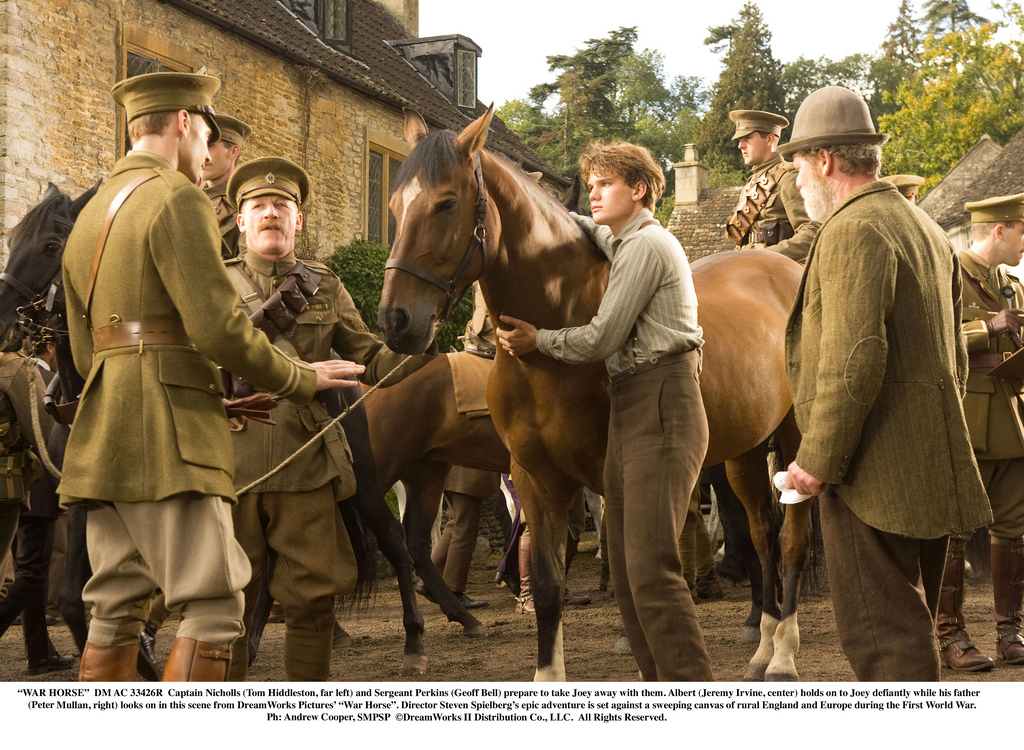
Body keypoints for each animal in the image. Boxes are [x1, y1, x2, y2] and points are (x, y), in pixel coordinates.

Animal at [380, 108, 811, 684]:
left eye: (446, 202)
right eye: (393, 206)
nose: (396, 320)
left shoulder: (614, 477)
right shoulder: (535, 479)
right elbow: (547, 586)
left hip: (792, 440)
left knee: (790, 541)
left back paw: (783, 654)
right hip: (743, 451)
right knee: (763, 533)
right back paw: (762, 646)